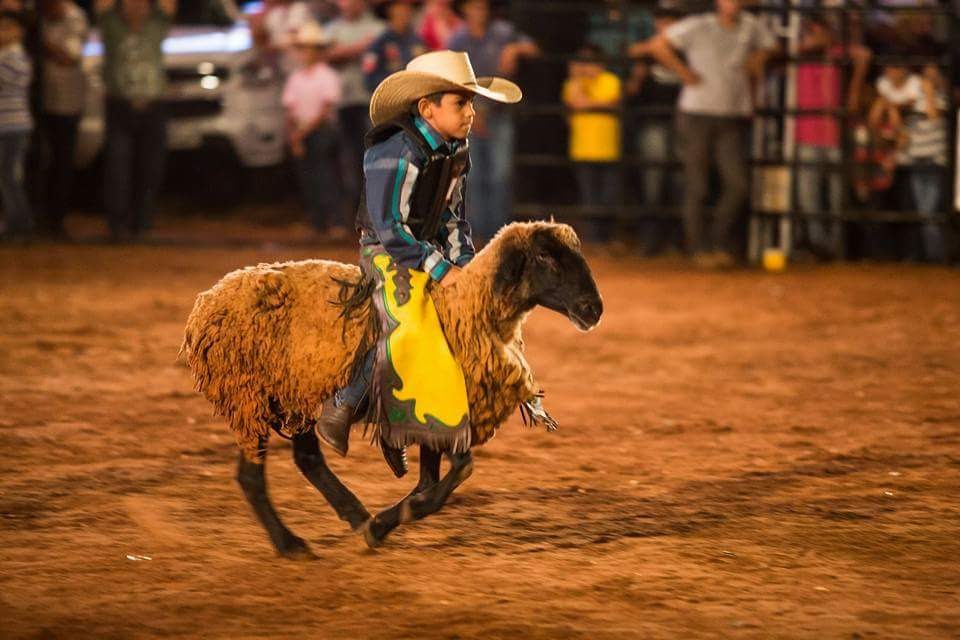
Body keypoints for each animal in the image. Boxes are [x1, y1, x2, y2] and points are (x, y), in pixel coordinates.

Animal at [180, 219, 600, 556]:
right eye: (545, 256)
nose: (594, 309)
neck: (463, 308)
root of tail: (206, 304)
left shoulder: (441, 416)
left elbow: (435, 480)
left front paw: (382, 522)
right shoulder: (438, 406)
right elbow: (453, 475)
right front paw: (387, 523)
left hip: (294, 393)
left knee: (308, 458)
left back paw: (354, 514)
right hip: (249, 395)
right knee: (252, 476)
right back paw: (290, 544)